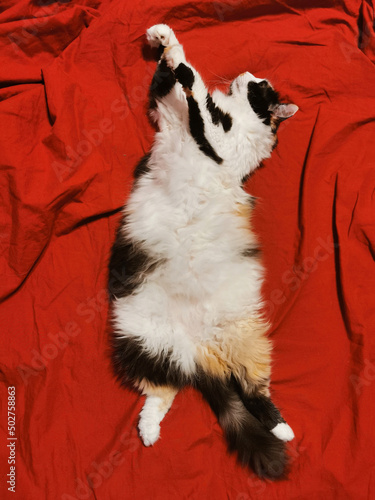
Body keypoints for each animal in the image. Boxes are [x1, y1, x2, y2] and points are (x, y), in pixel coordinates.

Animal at [108, 24, 300, 480]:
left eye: (262, 87)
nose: (248, 74)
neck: (234, 115)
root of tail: (198, 348)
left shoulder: (214, 138)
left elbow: (196, 99)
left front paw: (183, 66)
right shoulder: (167, 108)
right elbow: (173, 78)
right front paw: (164, 40)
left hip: (243, 342)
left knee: (253, 391)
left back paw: (282, 429)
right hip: (139, 340)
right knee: (164, 391)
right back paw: (148, 432)